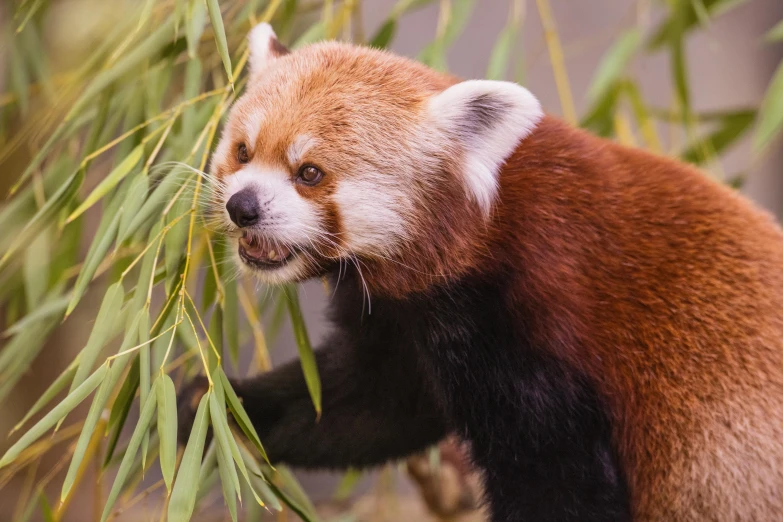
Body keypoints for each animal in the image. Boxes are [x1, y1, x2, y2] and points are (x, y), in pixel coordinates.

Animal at [181, 22, 783, 516]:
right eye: (243, 151)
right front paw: (209, 407)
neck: (481, 240)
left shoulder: (538, 323)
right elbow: (365, 407)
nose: (242, 206)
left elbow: (558, 484)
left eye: (309, 172)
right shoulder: (408, 323)